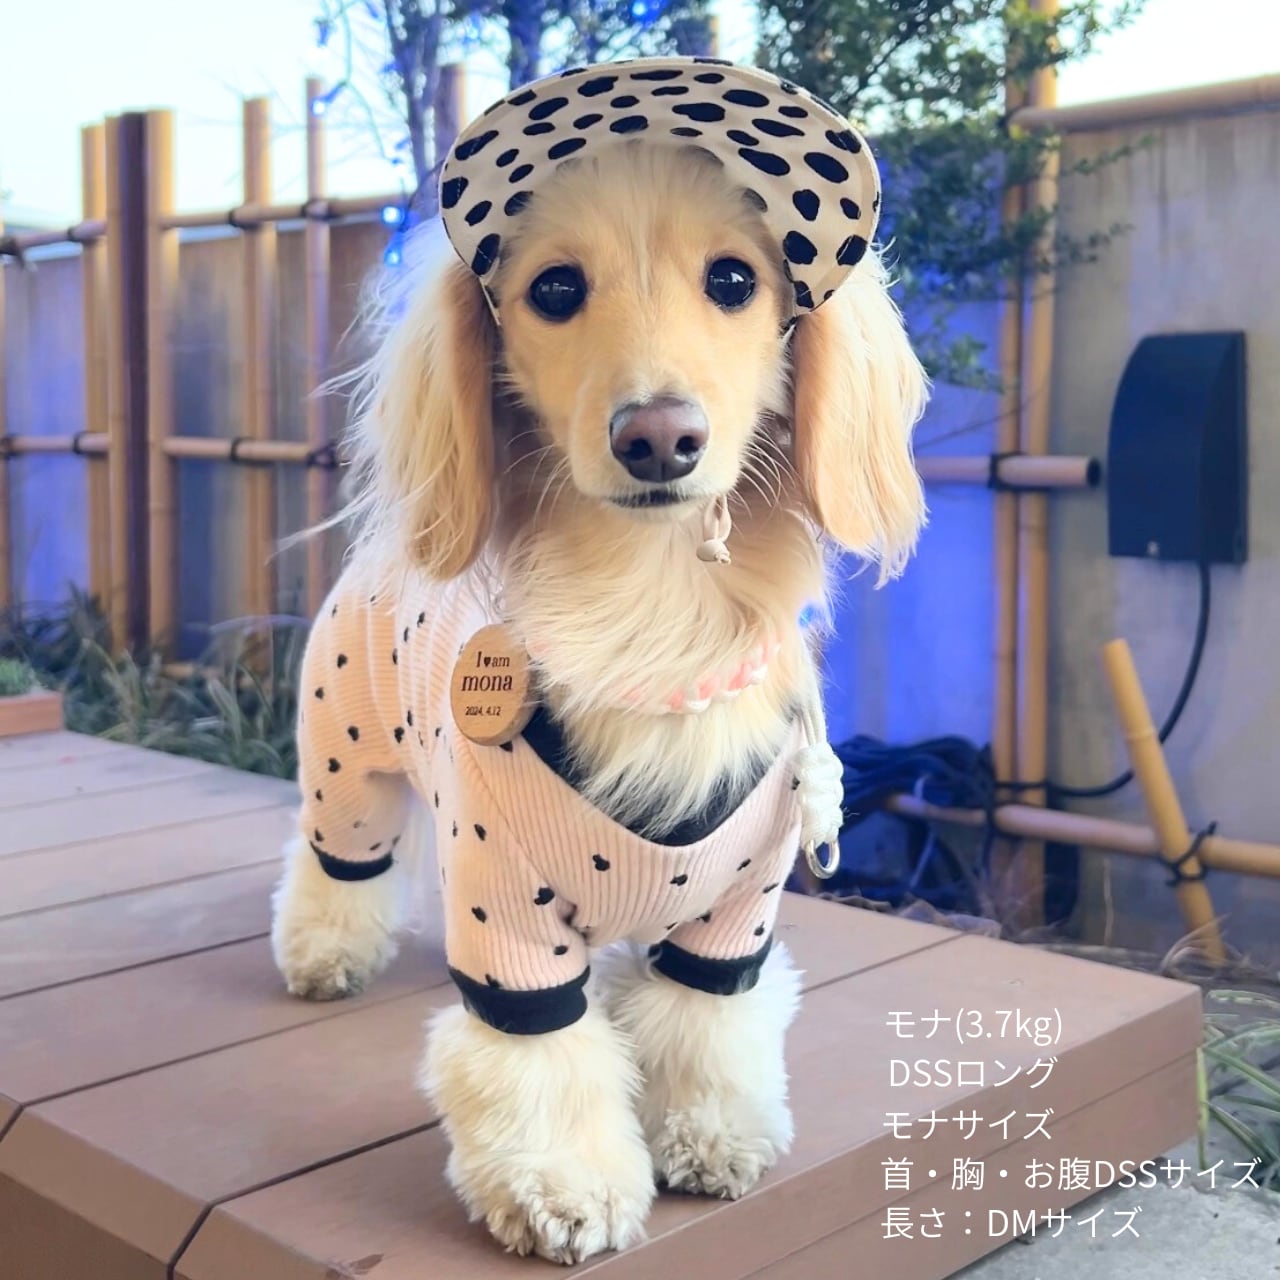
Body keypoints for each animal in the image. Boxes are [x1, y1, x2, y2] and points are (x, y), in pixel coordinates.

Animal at [271, 57, 926, 1266]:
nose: (657, 435)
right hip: (347, 770)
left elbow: (706, 1023)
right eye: (556, 290)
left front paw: (712, 1132)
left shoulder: (738, 911)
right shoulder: (507, 917)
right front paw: (565, 1186)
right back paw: (322, 949)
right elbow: (540, 1061)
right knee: (336, 863)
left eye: (734, 278)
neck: (651, 608)